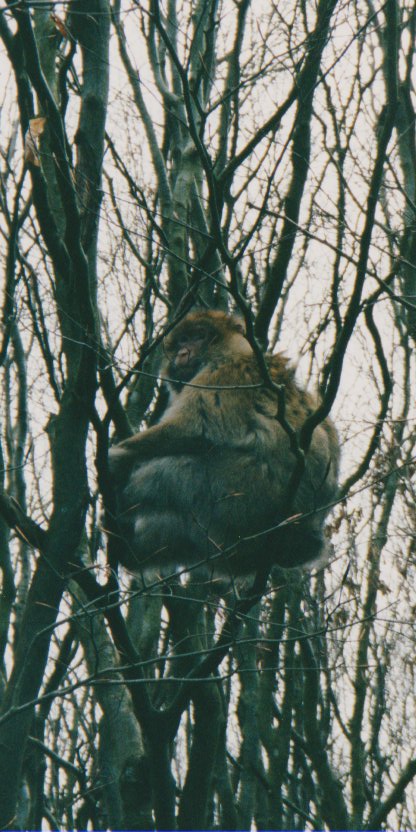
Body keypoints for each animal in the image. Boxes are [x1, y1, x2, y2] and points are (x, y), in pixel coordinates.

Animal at [109, 308, 340, 580]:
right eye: (182, 340)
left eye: (199, 336)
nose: (183, 353)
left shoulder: (225, 373)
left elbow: (192, 430)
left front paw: (117, 456)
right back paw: (129, 552)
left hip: (245, 493)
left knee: (175, 471)